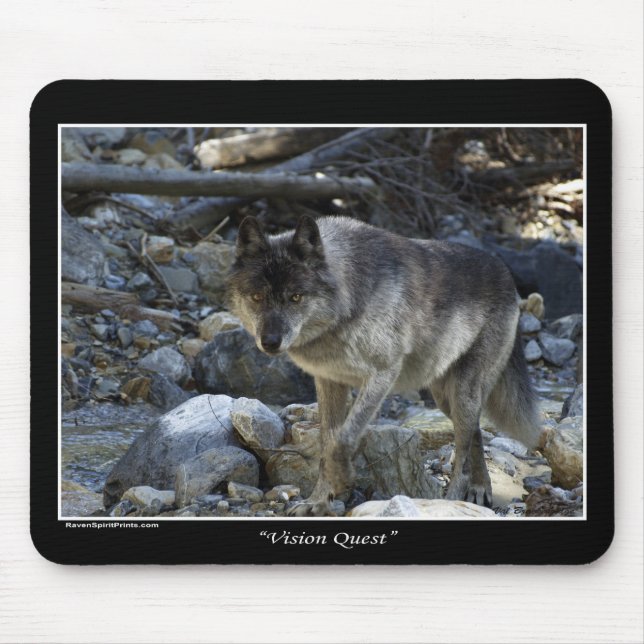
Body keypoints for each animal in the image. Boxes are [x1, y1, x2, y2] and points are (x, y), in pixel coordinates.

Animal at [227, 215, 541, 516]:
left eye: (295, 297)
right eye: (257, 297)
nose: (270, 342)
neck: (348, 303)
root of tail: (505, 273)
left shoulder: (382, 374)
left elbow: (343, 439)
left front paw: (342, 479)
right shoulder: (329, 381)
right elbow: (327, 443)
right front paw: (317, 501)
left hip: (463, 393)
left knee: (463, 449)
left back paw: (452, 500)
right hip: (446, 399)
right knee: (476, 431)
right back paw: (480, 489)